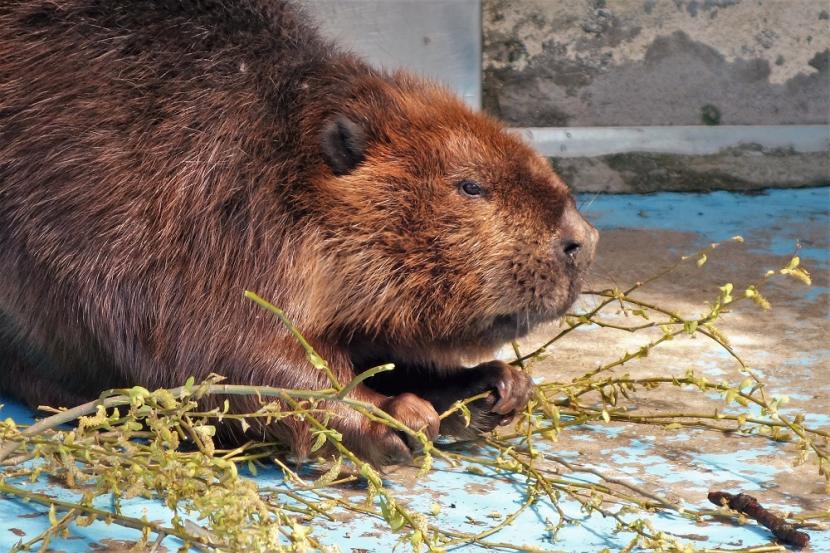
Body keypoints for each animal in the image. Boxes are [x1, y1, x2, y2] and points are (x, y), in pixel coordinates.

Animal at [0, 1, 600, 466]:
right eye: (471, 185)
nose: (582, 240)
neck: (275, 142)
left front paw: (493, 387)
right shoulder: (184, 207)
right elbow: (213, 343)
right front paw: (391, 417)